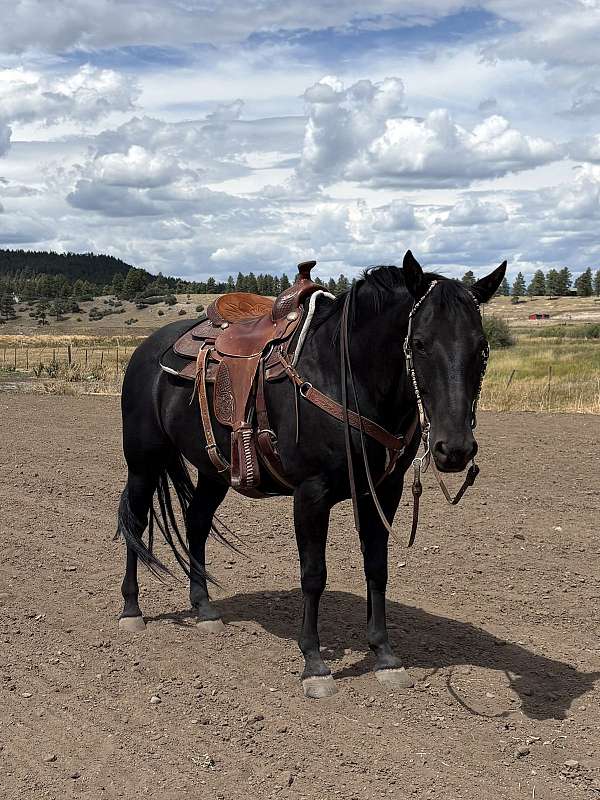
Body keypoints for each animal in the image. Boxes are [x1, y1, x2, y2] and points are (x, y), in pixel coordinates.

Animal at [116, 250, 506, 698]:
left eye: (482, 348)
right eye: (420, 343)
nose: (454, 449)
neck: (346, 375)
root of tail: (147, 349)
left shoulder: (383, 491)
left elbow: (377, 567)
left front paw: (385, 655)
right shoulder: (311, 494)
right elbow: (314, 574)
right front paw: (314, 664)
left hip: (214, 470)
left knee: (196, 523)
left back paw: (205, 608)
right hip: (143, 461)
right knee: (135, 521)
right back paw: (131, 609)